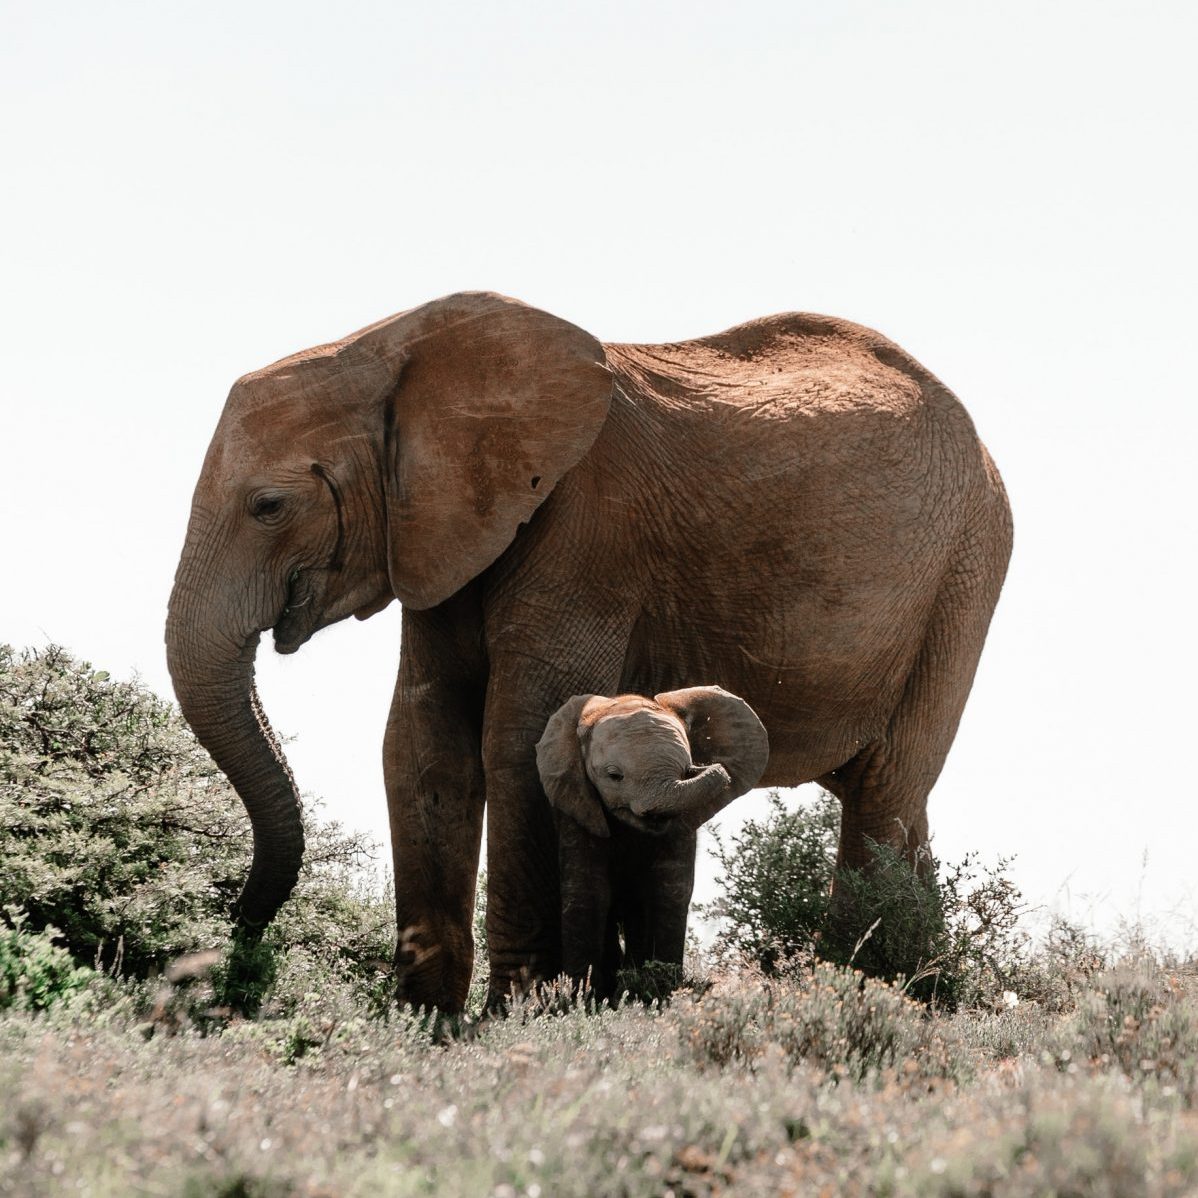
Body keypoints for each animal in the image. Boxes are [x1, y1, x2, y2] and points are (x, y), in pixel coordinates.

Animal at [536, 686, 768, 995]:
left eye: (686, 770)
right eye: (614, 776)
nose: (706, 767)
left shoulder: (680, 826)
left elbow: (669, 889)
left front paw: (662, 991)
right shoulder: (578, 808)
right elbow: (586, 891)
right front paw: (578, 996)